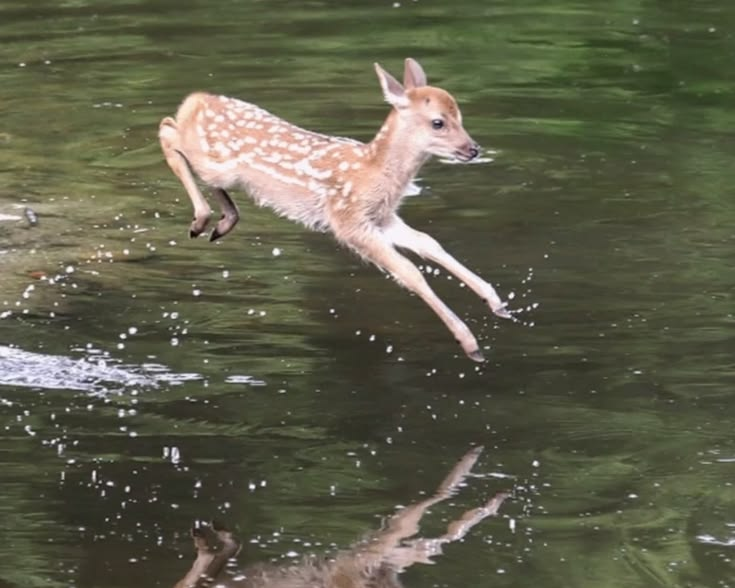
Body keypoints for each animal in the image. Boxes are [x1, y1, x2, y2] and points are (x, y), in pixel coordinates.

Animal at [159, 58, 512, 362]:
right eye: (438, 122)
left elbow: (429, 243)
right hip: (213, 160)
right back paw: (202, 219)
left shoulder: (381, 217)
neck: (373, 173)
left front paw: (497, 303)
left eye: (460, 117)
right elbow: (409, 271)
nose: (472, 149)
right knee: (168, 129)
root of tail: (198, 99)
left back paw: (224, 220)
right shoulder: (348, 220)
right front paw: (469, 343)